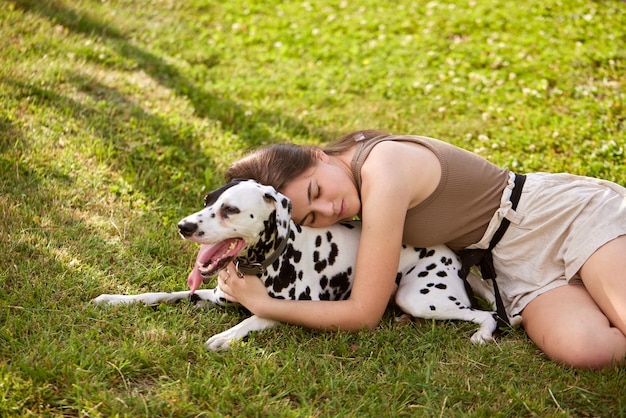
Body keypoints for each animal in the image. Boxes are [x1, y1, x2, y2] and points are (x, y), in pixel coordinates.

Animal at [92, 179, 516, 350]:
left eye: (230, 210)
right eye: (207, 200)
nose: (184, 226)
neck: (271, 258)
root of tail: (454, 256)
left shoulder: (291, 309)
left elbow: (251, 318)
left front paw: (226, 337)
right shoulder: (211, 295)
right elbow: (160, 293)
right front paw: (116, 299)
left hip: (421, 298)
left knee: (487, 314)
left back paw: (482, 334)